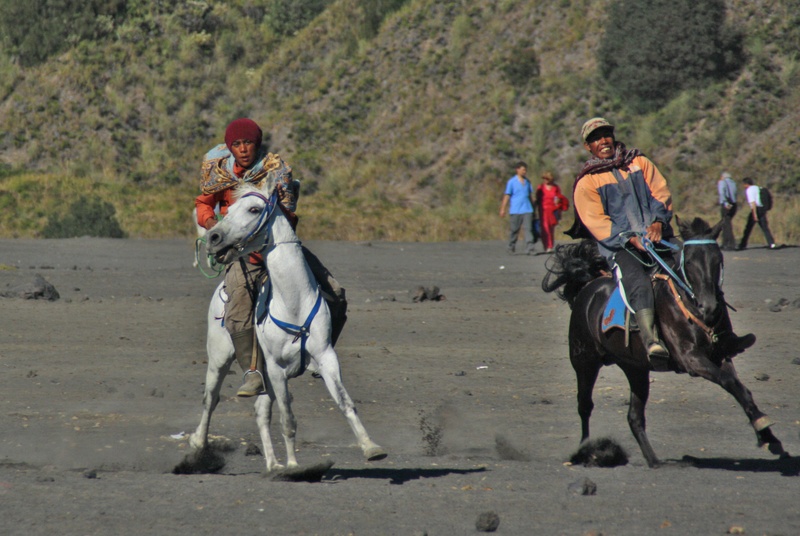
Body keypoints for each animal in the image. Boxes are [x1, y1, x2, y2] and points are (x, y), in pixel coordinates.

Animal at [188, 183, 388, 468]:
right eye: (228, 207)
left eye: (254, 209)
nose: (214, 236)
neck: (293, 303)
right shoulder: (276, 368)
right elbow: (288, 419)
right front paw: (294, 466)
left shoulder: (326, 357)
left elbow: (344, 402)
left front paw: (371, 447)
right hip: (219, 358)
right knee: (210, 400)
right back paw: (198, 444)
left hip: (262, 376)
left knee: (260, 411)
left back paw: (273, 465)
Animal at [540, 216, 784, 466]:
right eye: (690, 262)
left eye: (718, 259)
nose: (709, 307)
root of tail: (589, 288)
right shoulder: (691, 358)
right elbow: (729, 382)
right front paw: (764, 430)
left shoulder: (721, 355)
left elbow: (739, 387)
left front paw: (767, 435)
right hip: (584, 362)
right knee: (585, 406)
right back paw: (586, 450)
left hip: (635, 368)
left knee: (634, 416)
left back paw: (654, 460)